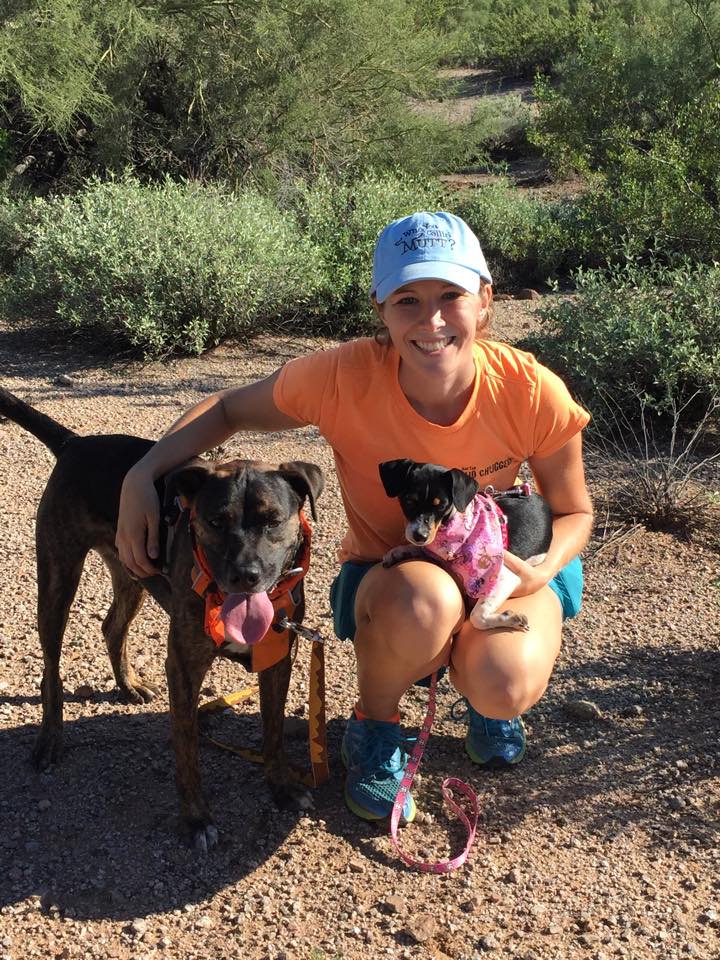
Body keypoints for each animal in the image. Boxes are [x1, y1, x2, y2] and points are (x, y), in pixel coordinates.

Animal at [0, 386, 324, 852]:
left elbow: (275, 731)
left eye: (273, 521)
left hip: (130, 571)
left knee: (111, 627)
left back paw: (128, 684)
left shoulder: (278, 657)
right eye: (215, 521)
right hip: (58, 575)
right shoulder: (185, 666)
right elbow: (187, 749)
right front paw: (196, 819)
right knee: (51, 668)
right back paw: (50, 739)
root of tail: (76, 443)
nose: (246, 575)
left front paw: (280, 786)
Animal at [376, 462, 552, 632]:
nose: (420, 535)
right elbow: (421, 548)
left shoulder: (503, 576)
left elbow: (477, 617)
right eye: (409, 501)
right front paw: (397, 552)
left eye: (441, 506)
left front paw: (510, 618)